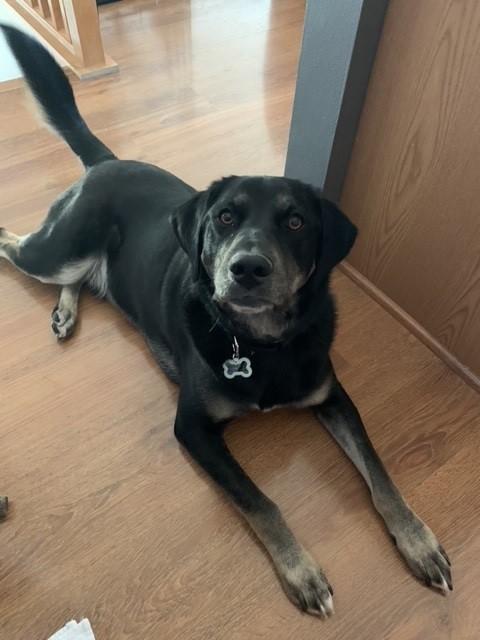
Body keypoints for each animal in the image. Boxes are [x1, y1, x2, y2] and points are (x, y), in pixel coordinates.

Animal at [0, 27, 450, 616]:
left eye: (296, 221)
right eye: (225, 217)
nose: (248, 268)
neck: (263, 345)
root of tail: (105, 163)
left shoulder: (332, 396)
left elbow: (380, 473)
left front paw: (419, 541)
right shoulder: (193, 428)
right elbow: (261, 501)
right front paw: (302, 571)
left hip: (77, 260)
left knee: (77, 277)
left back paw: (65, 311)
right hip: (58, 249)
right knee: (13, 242)